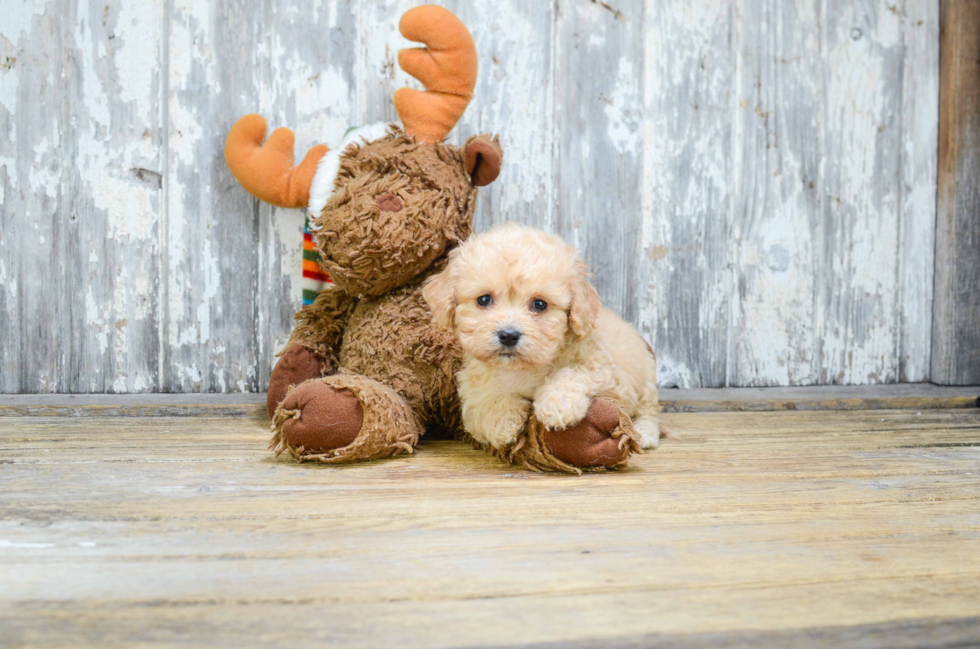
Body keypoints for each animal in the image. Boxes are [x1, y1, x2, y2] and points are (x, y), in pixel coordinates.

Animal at [424, 223, 664, 450]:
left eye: (539, 304)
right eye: (484, 300)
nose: (508, 335)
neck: (522, 369)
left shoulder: (610, 376)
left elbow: (575, 372)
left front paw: (558, 403)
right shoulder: (471, 391)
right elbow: (482, 403)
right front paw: (502, 420)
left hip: (646, 380)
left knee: (649, 412)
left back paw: (644, 434)